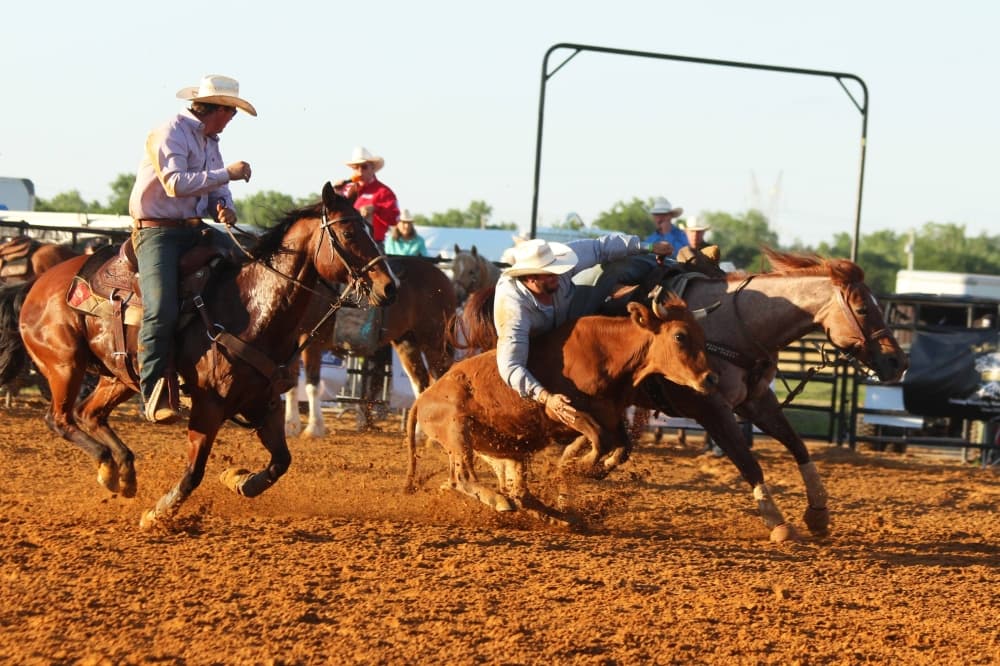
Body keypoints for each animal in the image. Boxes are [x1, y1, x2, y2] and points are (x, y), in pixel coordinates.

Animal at [2, 182, 397, 529]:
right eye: (349, 234)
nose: (389, 287)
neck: (251, 308)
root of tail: (36, 284)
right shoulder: (208, 405)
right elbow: (195, 471)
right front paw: (158, 513)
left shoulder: (264, 403)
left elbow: (281, 462)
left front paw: (239, 480)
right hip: (64, 364)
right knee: (59, 418)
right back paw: (108, 466)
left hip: (120, 375)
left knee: (90, 413)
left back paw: (122, 472)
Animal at [283, 256, 457, 437]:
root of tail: (444, 278)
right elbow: (291, 383)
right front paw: (291, 426)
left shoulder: (310, 340)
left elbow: (312, 384)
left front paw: (313, 428)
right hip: (407, 342)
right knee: (420, 382)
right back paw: (418, 433)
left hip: (432, 340)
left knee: (438, 377)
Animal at [405, 294, 718, 525]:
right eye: (680, 336)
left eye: (703, 335)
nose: (711, 379)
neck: (608, 355)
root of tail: (423, 398)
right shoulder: (563, 412)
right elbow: (599, 440)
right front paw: (580, 466)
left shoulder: (612, 415)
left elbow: (622, 448)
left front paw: (591, 470)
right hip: (458, 431)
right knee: (464, 479)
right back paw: (502, 502)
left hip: (502, 450)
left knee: (517, 492)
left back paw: (559, 518)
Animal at [457, 248, 908, 541]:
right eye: (863, 309)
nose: (897, 362)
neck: (737, 324)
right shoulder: (711, 408)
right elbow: (748, 461)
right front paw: (777, 520)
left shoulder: (757, 401)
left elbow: (798, 446)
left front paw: (817, 512)